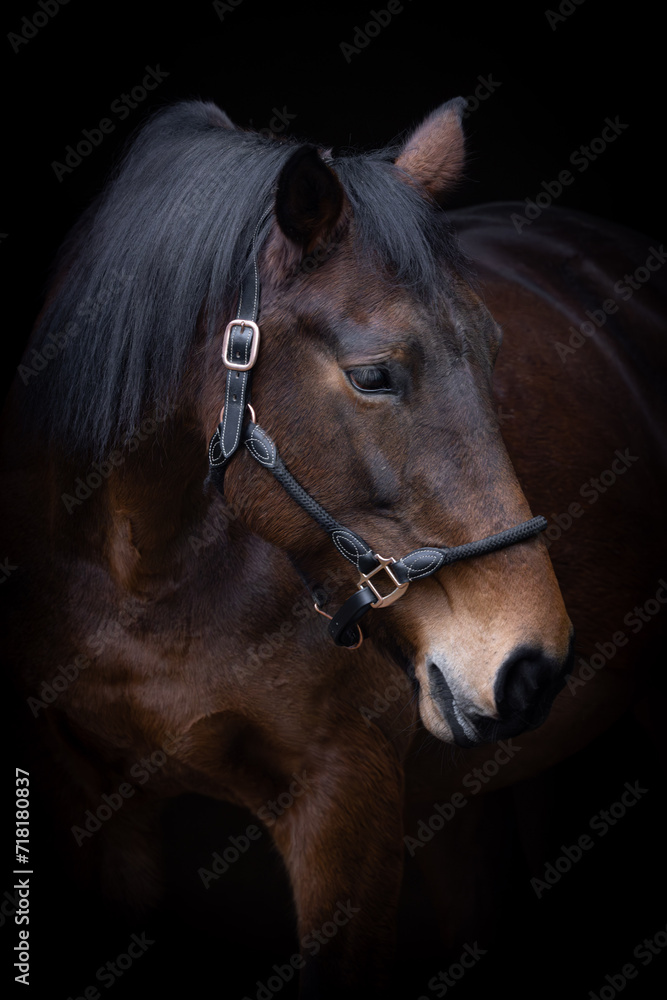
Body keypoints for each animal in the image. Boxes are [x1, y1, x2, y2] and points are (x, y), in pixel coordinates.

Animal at [2, 96, 665, 998]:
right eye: (373, 375)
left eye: (492, 348)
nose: (531, 665)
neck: (141, 578)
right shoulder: (91, 806)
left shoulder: (344, 806)